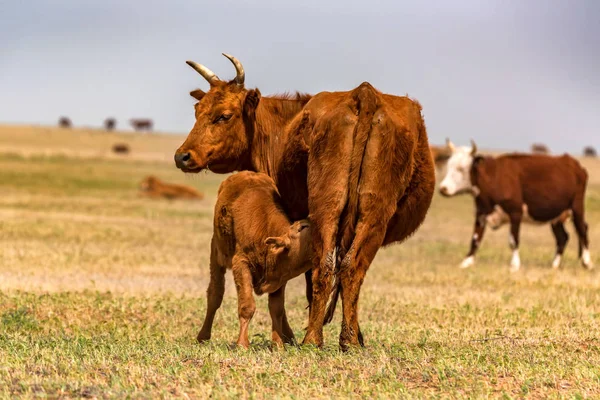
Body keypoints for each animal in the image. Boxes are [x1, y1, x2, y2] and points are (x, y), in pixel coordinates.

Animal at [199, 172, 316, 346]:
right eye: (302, 227)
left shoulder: (279, 276)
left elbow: (277, 309)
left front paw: (278, 344)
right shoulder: (240, 263)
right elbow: (247, 306)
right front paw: (242, 344)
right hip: (216, 252)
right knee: (214, 295)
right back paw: (203, 336)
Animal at [438, 140, 592, 272]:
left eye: (461, 169)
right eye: (449, 166)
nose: (443, 188)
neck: (494, 178)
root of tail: (573, 163)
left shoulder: (515, 212)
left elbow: (513, 240)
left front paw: (514, 265)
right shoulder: (481, 213)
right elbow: (475, 239)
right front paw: (466, 262)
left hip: (577, 207)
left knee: (582, 230)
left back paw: (587, 262)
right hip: (556, 216)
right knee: (563, 237)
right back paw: (554, 265)